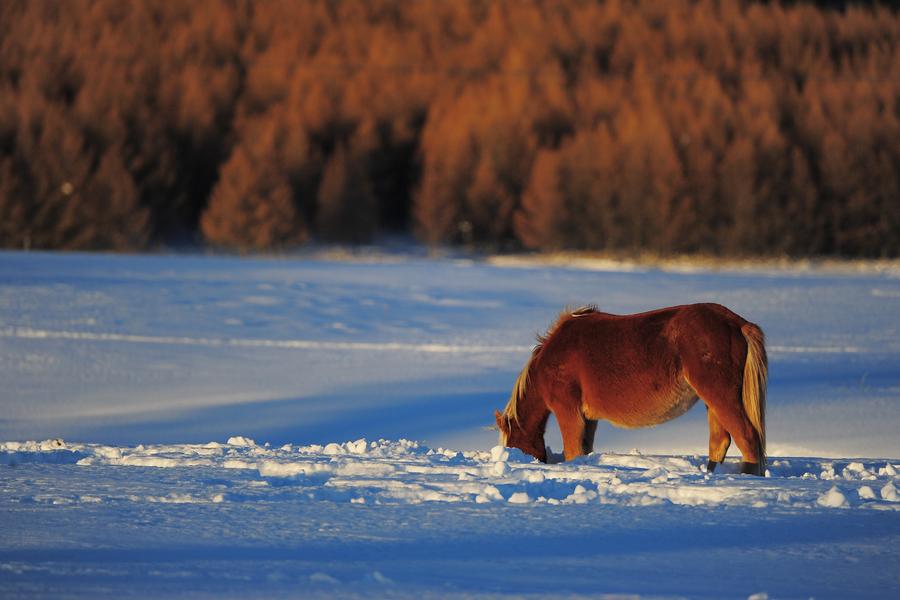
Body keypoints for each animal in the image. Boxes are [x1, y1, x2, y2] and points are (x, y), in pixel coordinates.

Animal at [496, 302, 768, 476]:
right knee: (720, 441)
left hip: (720, 395)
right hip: (712, 401)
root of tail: (737, 323)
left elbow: (573, 451)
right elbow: (584, 450)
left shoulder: (568, 411)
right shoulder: (588, 418)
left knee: (747, 438)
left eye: (513, 445)